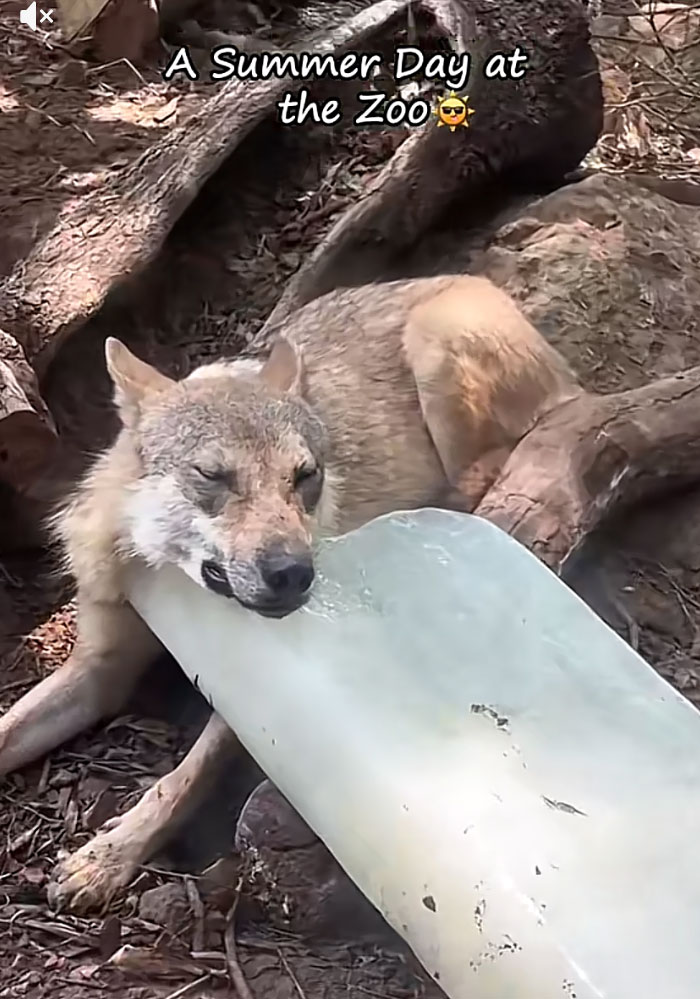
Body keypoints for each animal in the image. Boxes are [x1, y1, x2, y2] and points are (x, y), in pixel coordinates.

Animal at [0, 274, 582, 912]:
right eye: (213, 476)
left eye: (306, 477)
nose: (293, 572)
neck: (169, 579)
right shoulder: (99, 669)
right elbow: (10, 727)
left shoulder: (253, 699)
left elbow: (179, 782)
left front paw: (107, 857)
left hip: (438, 345)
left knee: (492, 465)